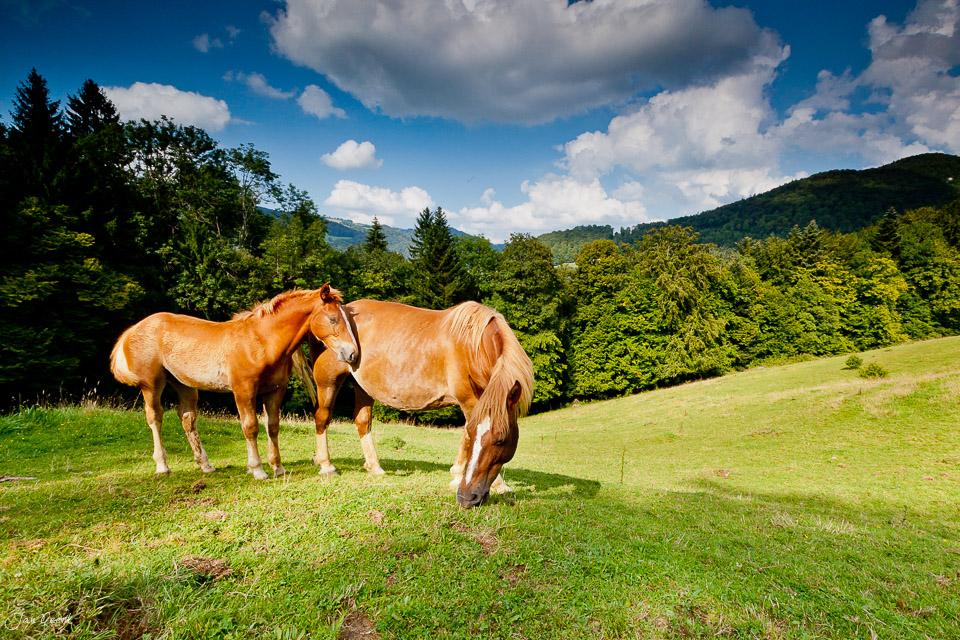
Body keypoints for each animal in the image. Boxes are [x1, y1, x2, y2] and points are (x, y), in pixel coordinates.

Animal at [110, 284, 358, 479]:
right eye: (333, 319)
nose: (352, 353)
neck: (261, 341)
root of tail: (134, 328)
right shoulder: (244, 390)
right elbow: (251, 427)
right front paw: (257, 469)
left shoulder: (274, 391)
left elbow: (273, 427)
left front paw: (278, 468)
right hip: (152, 384)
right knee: (155, 417)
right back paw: (162, 466)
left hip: (185, 385)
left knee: (188, 419)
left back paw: (206, 465)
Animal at [305, 299, 534, 508]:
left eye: (501, 440)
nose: (466, 497)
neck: (473, 346)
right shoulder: (468, 399)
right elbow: (469, 436)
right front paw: (497, 484)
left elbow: (465, 434)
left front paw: (457, 474)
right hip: (327, 380)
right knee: (322, 417)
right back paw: (326, 465)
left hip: (363, 388)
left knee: (362, 421)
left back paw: (374, 466)